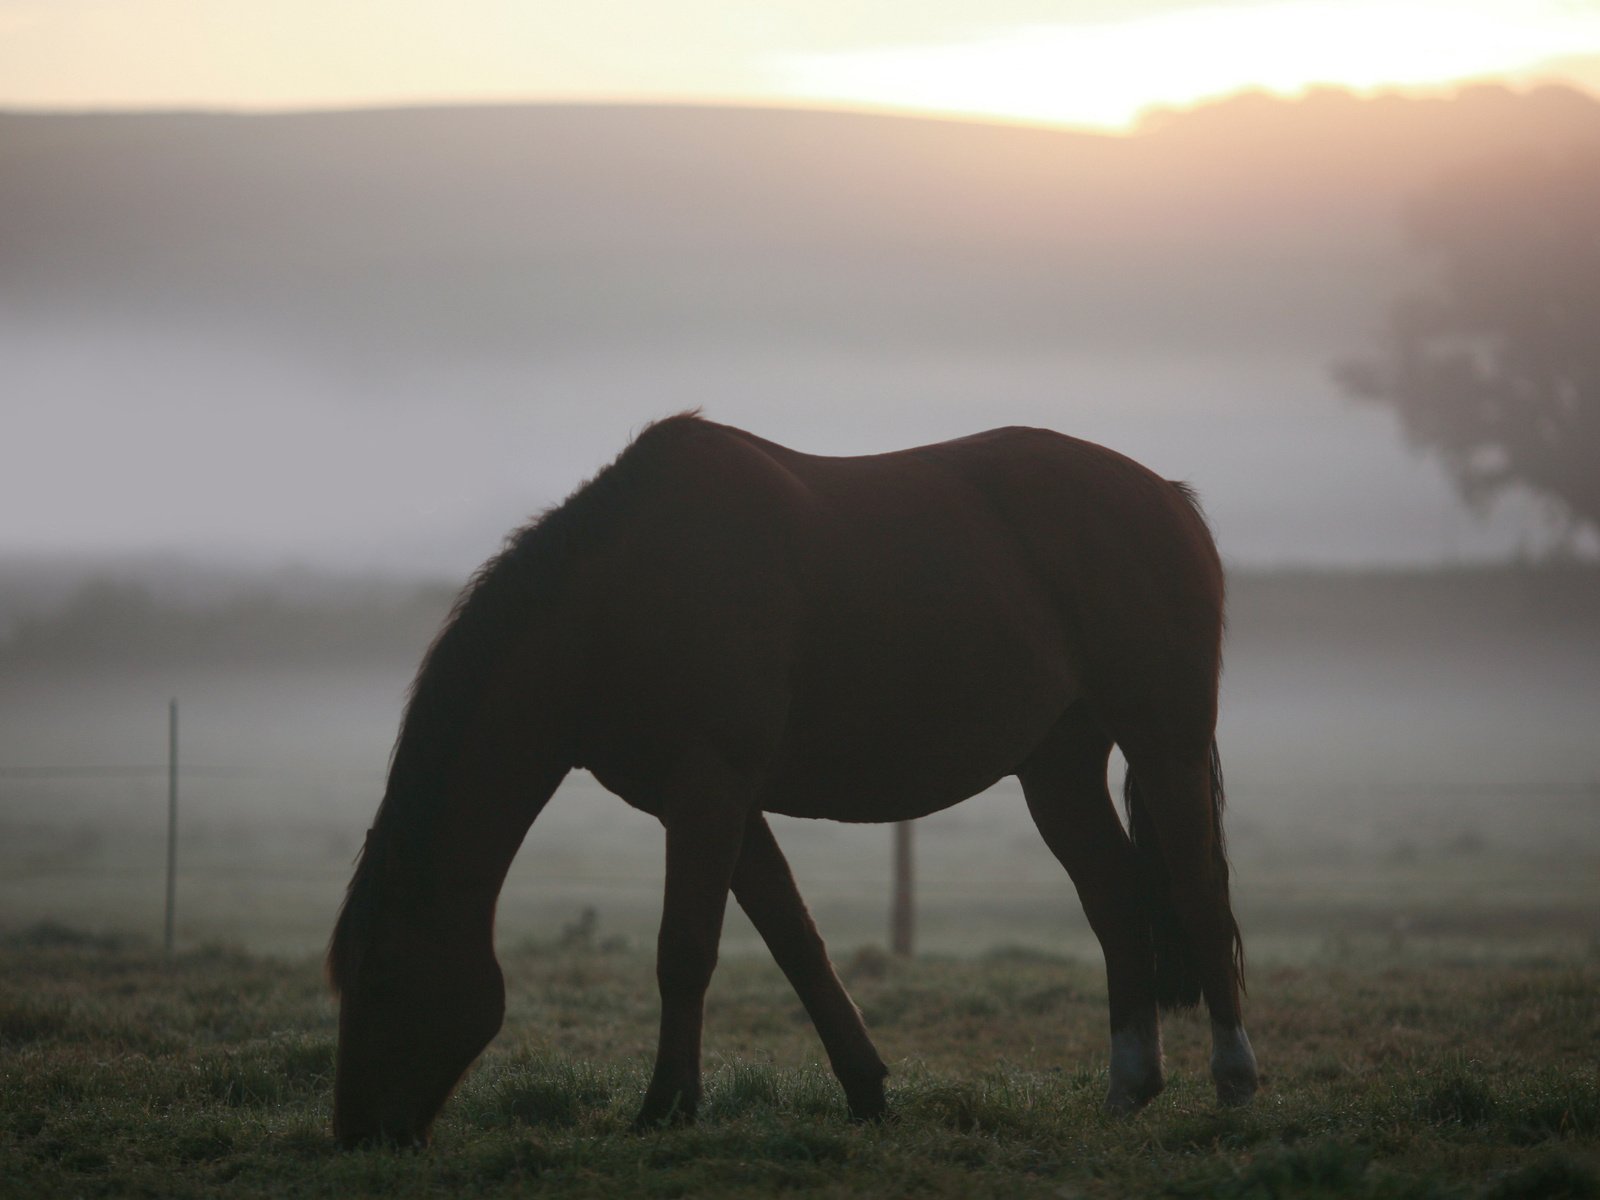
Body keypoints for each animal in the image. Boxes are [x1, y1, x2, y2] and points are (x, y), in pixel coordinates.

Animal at [324, 419, 1254, 1152]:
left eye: (379, 977)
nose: (357, 1133)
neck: (621, 600)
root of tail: (1167, 498)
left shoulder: (709, 791)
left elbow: (684, 951)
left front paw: (665, 1109)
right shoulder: (719, 803)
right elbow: (795, 942)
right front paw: (867, 1091)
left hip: (1164, 746)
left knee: (1200, 893)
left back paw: (1236, 1082)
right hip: (1056, 767)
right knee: (1115, 898)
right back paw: (1129, 1085)